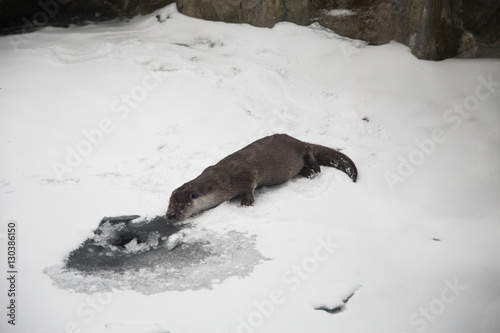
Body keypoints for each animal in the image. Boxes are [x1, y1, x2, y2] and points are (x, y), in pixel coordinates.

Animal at [166, 132, 358, 220]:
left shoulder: (245, 176)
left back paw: (315, 168)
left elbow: (250, 186)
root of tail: (296, 139)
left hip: (299, 148)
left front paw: (246, 202)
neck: (219, 181)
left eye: (182, 206)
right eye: (170, 204)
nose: (169, 216)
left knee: (309, 151)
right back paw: (307, 172)